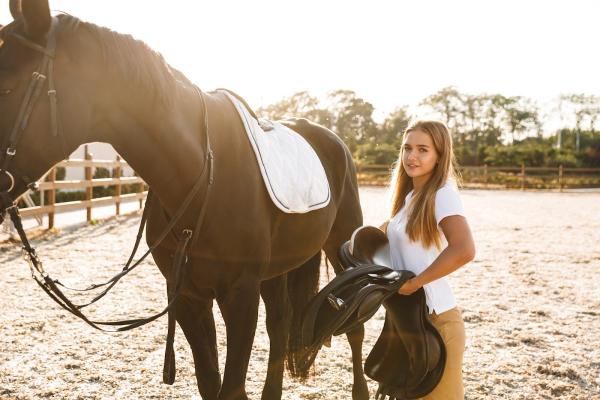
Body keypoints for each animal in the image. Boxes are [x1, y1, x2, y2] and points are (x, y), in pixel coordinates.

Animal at [0, 0, 368, 400]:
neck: (202, 175)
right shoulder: (189, 297)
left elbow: (231, 387)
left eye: (7, 85)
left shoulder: (240, 295)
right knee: (280, 323)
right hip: (278, 268)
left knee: (354, 326)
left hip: (342, 246)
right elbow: (211, 382)